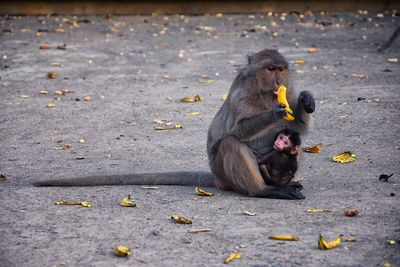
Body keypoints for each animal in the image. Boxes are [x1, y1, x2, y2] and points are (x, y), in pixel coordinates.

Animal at [34, 48, 314, 200]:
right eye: (270, 69)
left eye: (281, 69)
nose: (278, 80)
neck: (265, 92)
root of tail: (217, 177)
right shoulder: (242, 93)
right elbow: (237, 130)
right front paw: (276, 113)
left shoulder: (288, 90)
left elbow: (297, 130)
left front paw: (306, 100)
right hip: (225, 169)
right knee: (230, 144)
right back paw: (263, 191)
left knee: (294, 148)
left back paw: (282, 183)